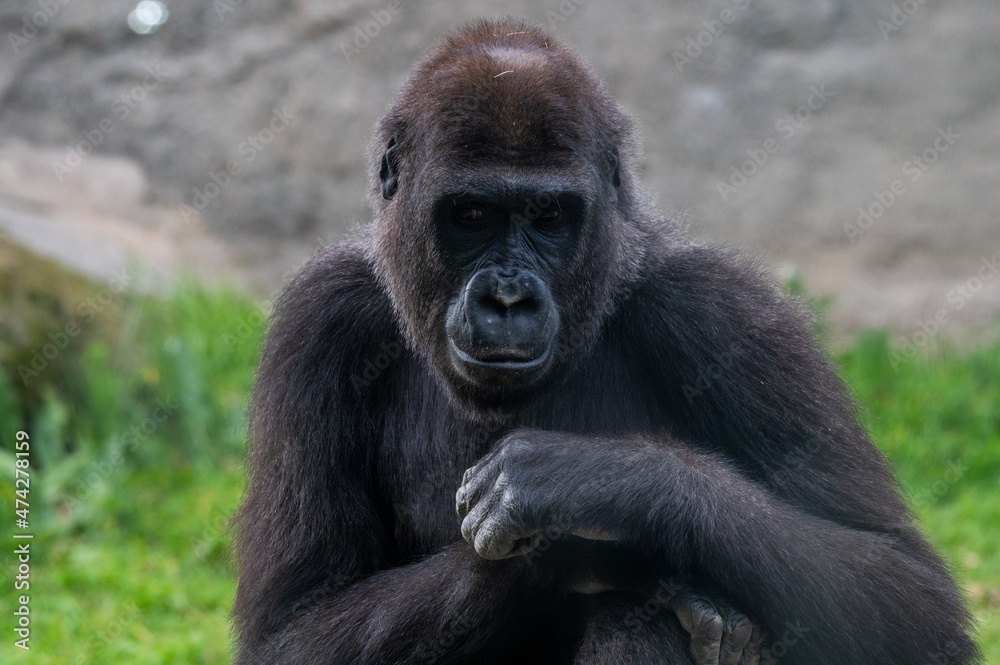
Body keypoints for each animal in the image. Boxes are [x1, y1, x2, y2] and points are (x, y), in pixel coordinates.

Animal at [234, 16, 976, 664]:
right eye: (470, 214)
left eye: (548, 216)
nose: (508, 298)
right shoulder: (319, 319)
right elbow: (292, 629)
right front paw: (584, 556)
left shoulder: (721, 306)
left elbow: (906, 589)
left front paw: (608, 486)